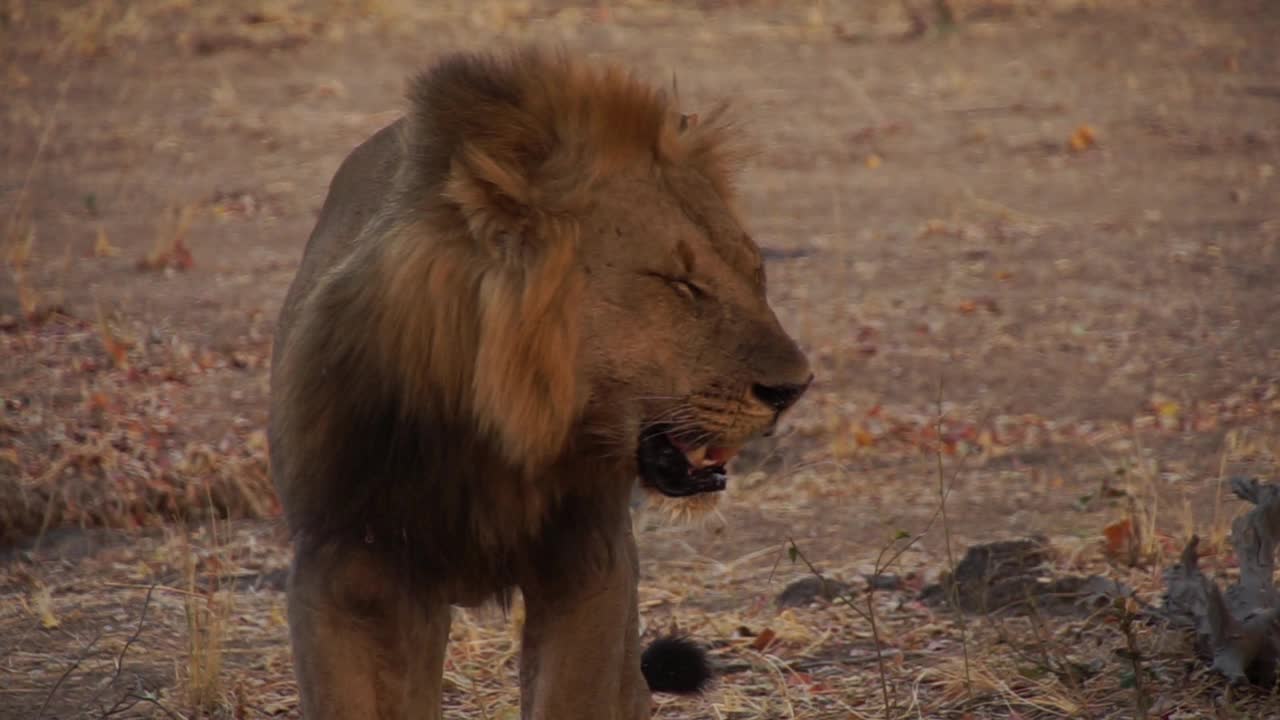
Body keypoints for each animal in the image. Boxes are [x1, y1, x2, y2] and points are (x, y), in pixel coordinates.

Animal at [267, 47, 808, 712]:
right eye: (682, 285)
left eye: (755, 272)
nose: (795, 388)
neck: (492, 433)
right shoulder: (343, 569)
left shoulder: (589, 562)